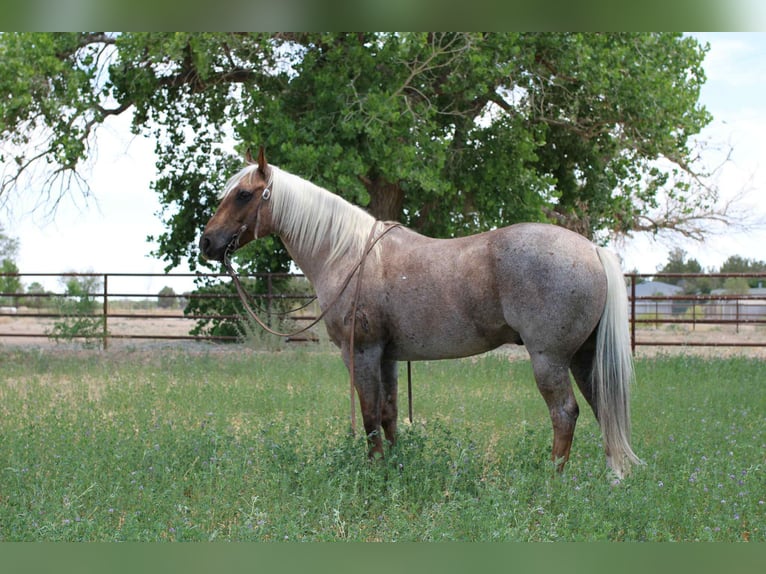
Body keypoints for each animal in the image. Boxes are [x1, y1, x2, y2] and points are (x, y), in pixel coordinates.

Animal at [199, 148, 641, 478]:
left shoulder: (360, 352)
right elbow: (389, 414)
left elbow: (369, 415)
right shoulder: (388, 356)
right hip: (583, 357)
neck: (347, 253)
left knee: (565, 413)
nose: (207, 243)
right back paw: (611, 478)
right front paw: (397, 468)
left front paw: (375, 474)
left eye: (243, 195)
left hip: (549, 358)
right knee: (602, 408)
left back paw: (553, 481)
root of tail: (592, 249)